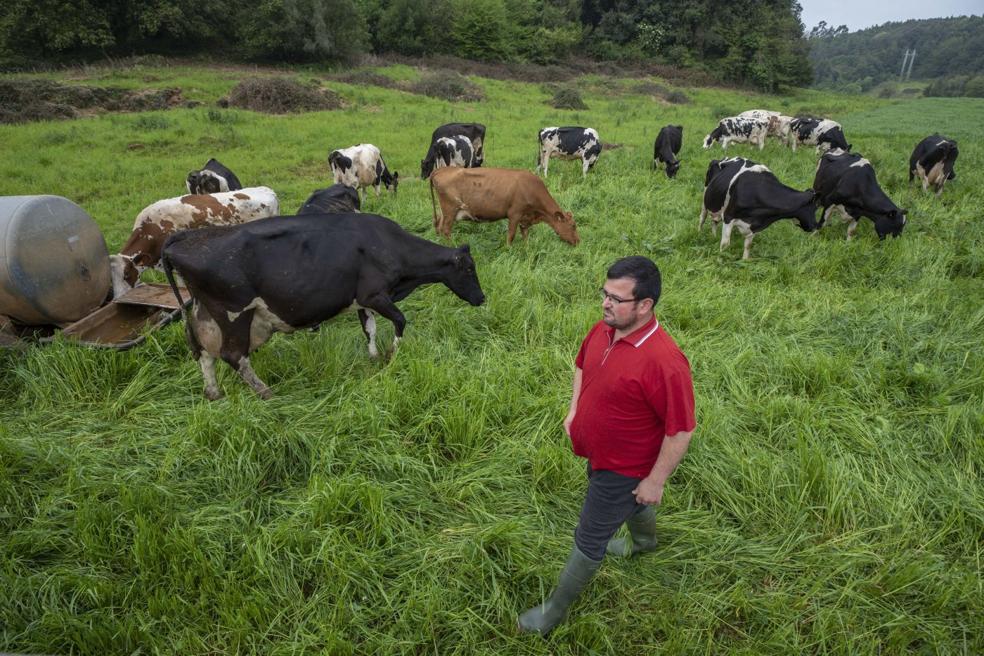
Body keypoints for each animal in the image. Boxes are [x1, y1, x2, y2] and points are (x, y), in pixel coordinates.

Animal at [162, 214, 488, 400]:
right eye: (469, 269)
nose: (482, 298)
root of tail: (184, 237)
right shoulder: (375, 294)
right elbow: (400, 321)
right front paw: (391, 355)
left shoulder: (363, 300)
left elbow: (369, 329)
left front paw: (373, 358)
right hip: (235, 313)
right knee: (233, 355)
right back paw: (266, 393)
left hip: (205, 313)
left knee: (203, 353)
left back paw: (214, 393)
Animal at [428, 167, 580, 246]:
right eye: (573, 226)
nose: (578, 241)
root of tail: (442, 169)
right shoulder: (515, 213)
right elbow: (511, 234)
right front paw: (509, 249)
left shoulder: (525, 218)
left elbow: (525, 234)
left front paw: (526, 248)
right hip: (450, 209)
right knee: (446, 229)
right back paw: (451, 246)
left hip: (444, 210)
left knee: (438, 225)